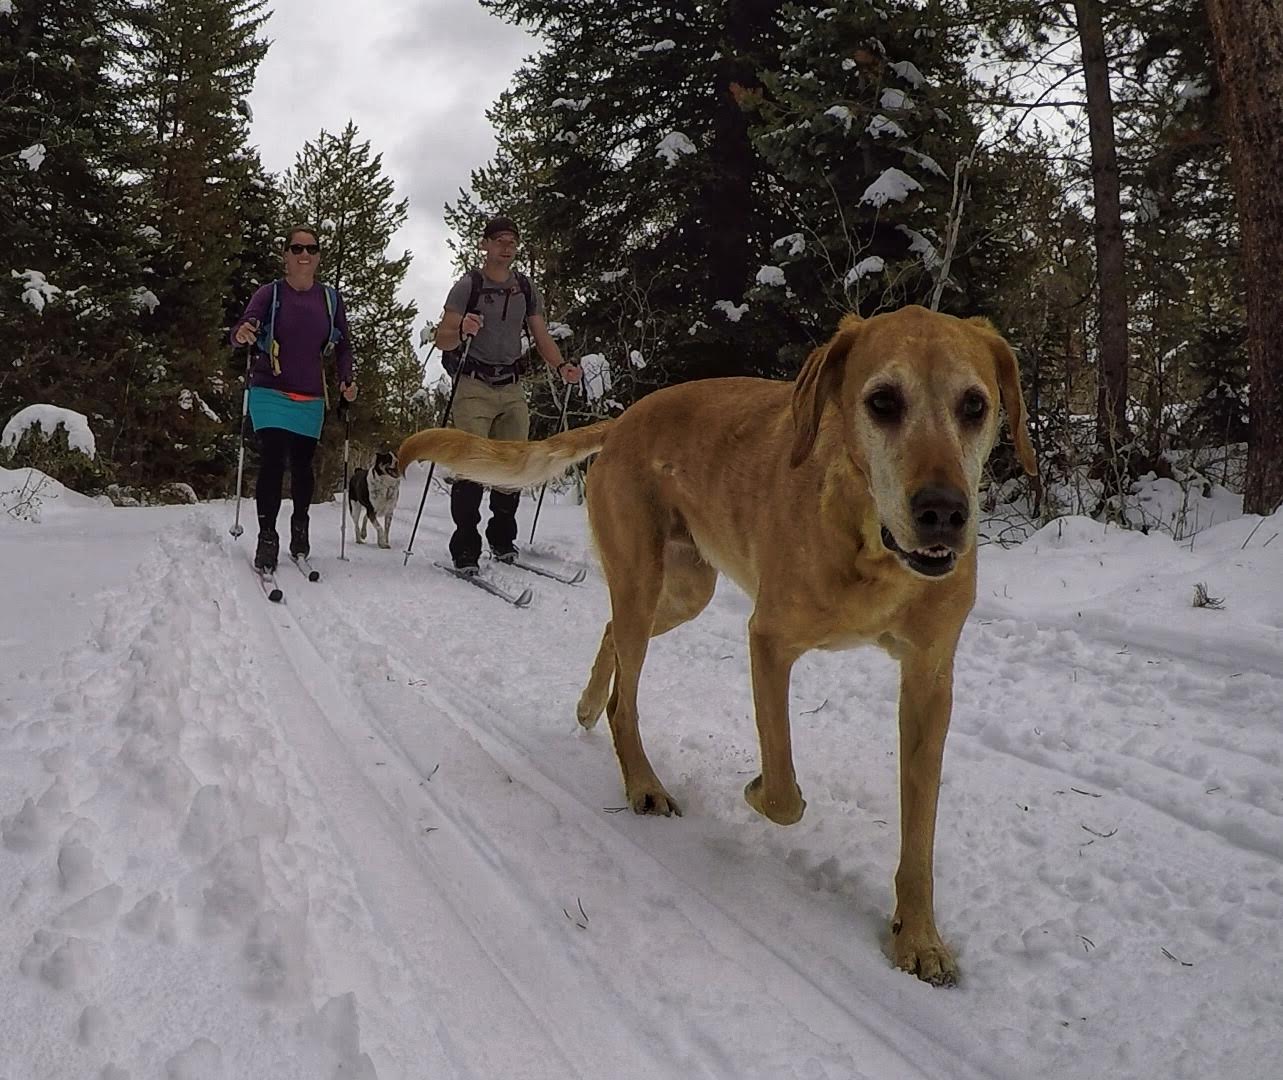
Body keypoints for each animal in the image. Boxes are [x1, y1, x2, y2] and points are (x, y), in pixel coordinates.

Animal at [395, 305, 1036, 985]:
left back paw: (589, 704)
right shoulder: (770, 642)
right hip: (644, 577)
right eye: (883, 401)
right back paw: (642, 781)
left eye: (975, 405)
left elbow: (920, 833)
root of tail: (626, 419)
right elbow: (783, 792)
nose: (944, 512)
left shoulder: (929, 679)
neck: (871, 542)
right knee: (627, 697)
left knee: (611, 635)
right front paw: (755, 792)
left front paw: (918, 935)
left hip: (684, 590)